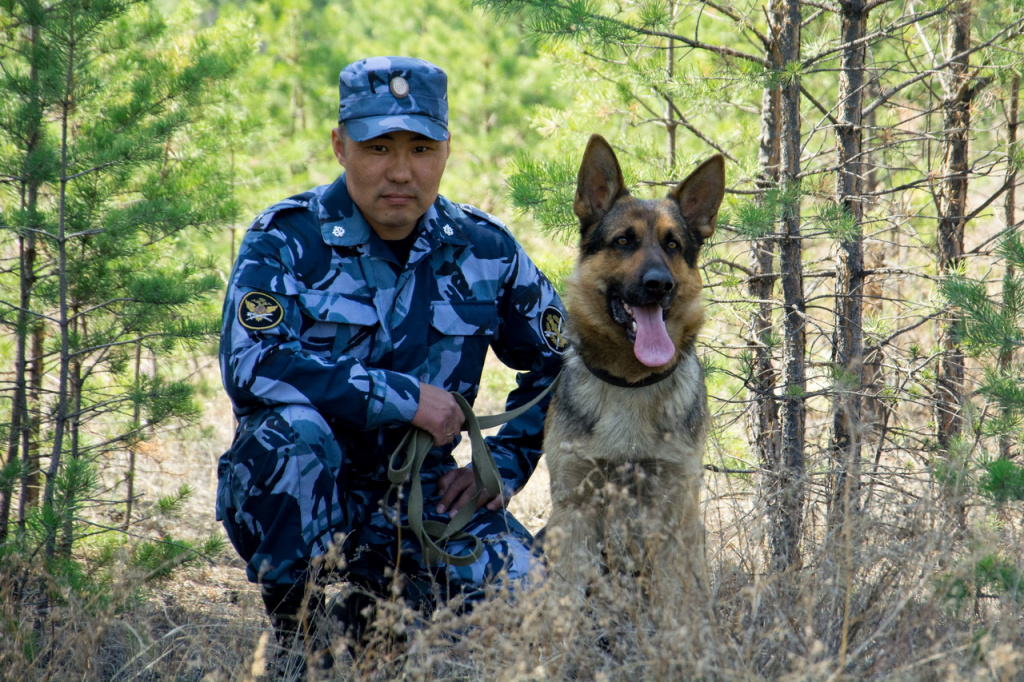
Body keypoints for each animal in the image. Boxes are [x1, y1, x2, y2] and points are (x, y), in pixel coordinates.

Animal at [540, 134, 724, 606]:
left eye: (673, 245)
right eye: (624, 241)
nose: (660, 285)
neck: (630, 383)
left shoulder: (674, 515)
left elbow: (678, 603)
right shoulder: (574, 511)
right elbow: (563, 603)